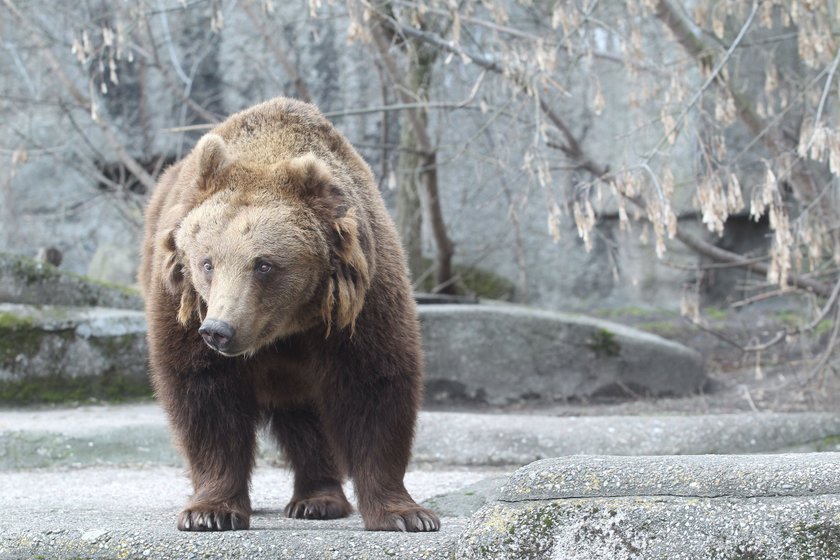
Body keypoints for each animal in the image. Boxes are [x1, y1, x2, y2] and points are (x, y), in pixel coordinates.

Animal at [139, 97, 440, 532]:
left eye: (263, 264)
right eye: (207, 262)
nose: (218, 330)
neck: (287, 326)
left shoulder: (360, 302)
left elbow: (376, 387)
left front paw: (405, 514)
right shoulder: (181, 303)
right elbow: (203, 395)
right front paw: (209, 511)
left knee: (308, 419)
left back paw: (317, 499)